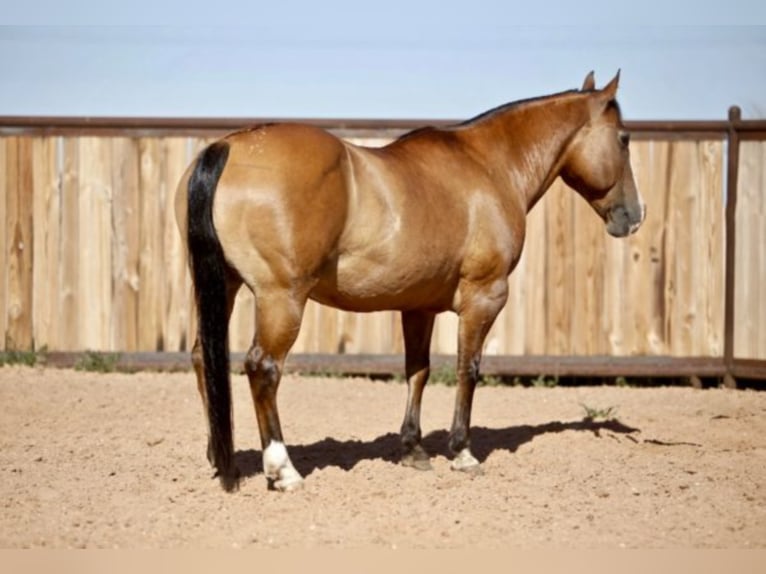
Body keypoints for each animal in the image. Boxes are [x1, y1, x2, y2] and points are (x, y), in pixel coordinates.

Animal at [176, 71, 648, 496]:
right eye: (624, 139)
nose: (635, 215)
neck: (488, 166)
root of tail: (230, 145)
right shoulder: (484, 296)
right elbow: (468, 368)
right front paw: (462, 452)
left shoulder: (418, 306)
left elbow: (417, 371)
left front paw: (412, 449)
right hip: (282, 298)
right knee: (263, 367)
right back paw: (283, 470)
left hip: (224, 285)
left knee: (203, 358)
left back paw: (223, 461)